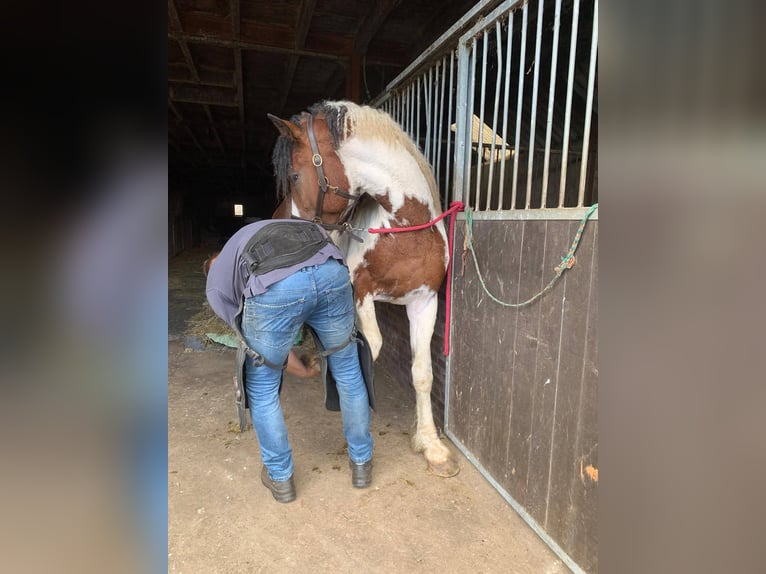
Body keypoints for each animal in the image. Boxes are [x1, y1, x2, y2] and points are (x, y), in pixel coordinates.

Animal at [267, 100, 459, 477]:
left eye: (295, 176)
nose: (289, 229)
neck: (403, 226)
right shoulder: (358, 293)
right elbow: (368, 351)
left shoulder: (425, 301)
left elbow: (423, 373)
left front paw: (431, 446)